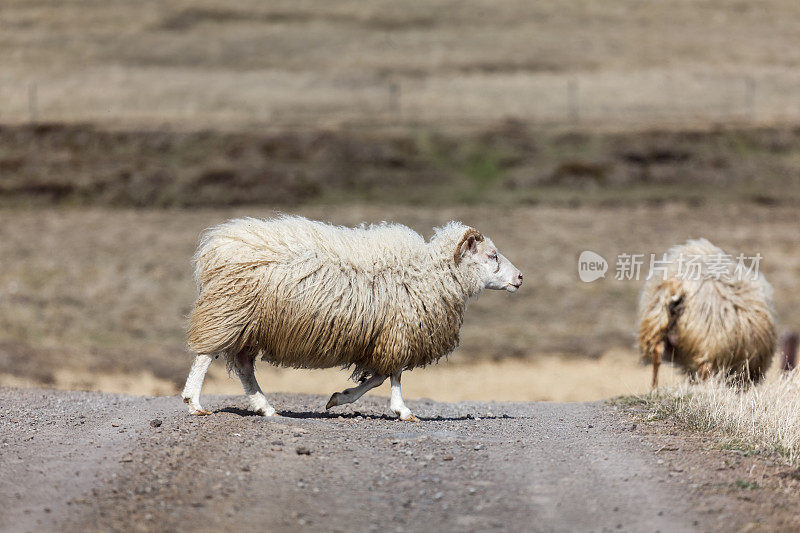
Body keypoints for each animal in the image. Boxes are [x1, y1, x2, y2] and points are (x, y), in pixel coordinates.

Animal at [180, 214, 524, 418]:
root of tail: (214, 247)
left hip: (249, 324)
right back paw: (194, 403)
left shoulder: (383, 335)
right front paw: (402, 410)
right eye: (492, 256)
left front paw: (340, 397)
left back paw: (265, 407)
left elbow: (379, 376)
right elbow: (393, 375)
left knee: (243, 366)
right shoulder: (398, 332)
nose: (520, 277)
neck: (431, 272)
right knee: (205, 356)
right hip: (227, 310)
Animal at [636, 238, 776, 386]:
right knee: (705, 367)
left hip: (656, 322)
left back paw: (654, 388)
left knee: (657, 351)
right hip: (708, 337)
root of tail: (679, 286)